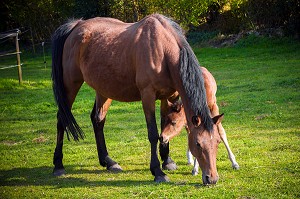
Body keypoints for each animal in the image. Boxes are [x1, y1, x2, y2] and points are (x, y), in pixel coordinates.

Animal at [51, 14, 223, 184]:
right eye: (198, 144)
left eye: (217, 142)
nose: (212, 178)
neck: (162, 49)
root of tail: (76, 25)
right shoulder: (147, 96)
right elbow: (153, 133)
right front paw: (158, 172)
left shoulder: (170, 96)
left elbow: (164, 129)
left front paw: (167, 161)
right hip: (70, 85)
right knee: (61, 119)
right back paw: (58, 165)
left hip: (104, 90)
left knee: (97, 120)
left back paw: (108, 161)